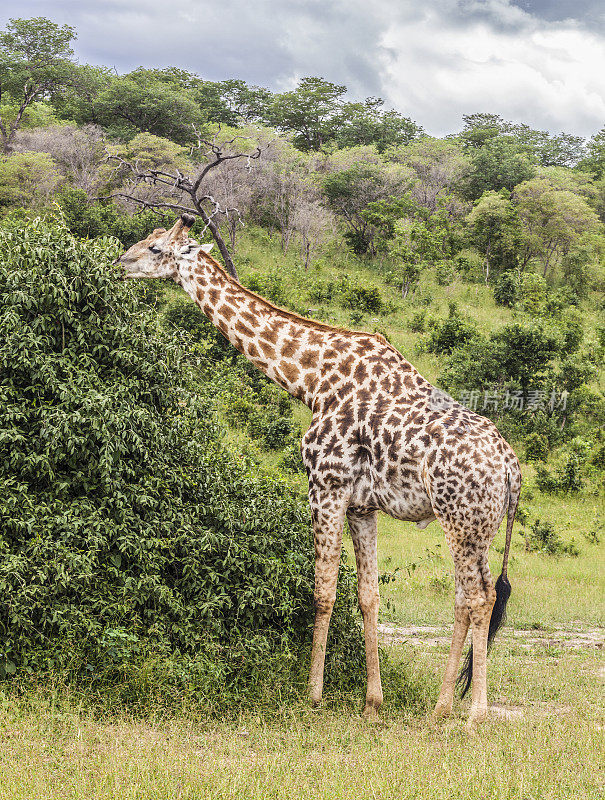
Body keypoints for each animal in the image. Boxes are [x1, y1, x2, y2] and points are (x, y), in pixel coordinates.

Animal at [117, 216, 520, 728]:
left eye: (154, 248)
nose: (119, 262)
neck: (310, 380)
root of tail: (511, 468)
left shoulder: (324, 485)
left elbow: (323, 589)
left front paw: (313, 695)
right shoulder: (362, 505)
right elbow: (366, 595)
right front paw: (372, 703)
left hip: (460, 520)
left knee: (477, 598)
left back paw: (471, 713)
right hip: (481, 527)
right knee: (471, 597)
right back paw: (444, 705)